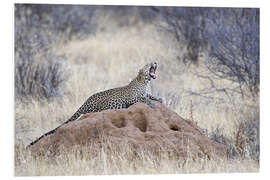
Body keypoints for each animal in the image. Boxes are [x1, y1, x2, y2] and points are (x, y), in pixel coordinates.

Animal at [27, 62, 162, 148]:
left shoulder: (146, 93)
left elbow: (151, 96)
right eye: (148, 64)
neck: (145, 82)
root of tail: (86, 101)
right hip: (101, 106)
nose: (155, 62)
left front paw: (160, 98)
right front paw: (153, 104)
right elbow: (144, 98)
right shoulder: (133, 98)